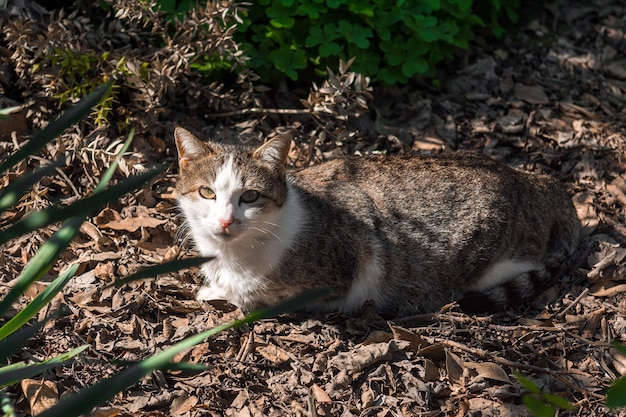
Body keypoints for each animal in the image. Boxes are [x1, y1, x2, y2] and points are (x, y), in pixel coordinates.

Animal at [172, 127, 580, 316]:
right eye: (207, 193)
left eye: (250, 197)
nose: (226, 221)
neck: (233, 255)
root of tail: (541, 183)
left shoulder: (342, 272)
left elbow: (258, 294)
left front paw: (219, 293)